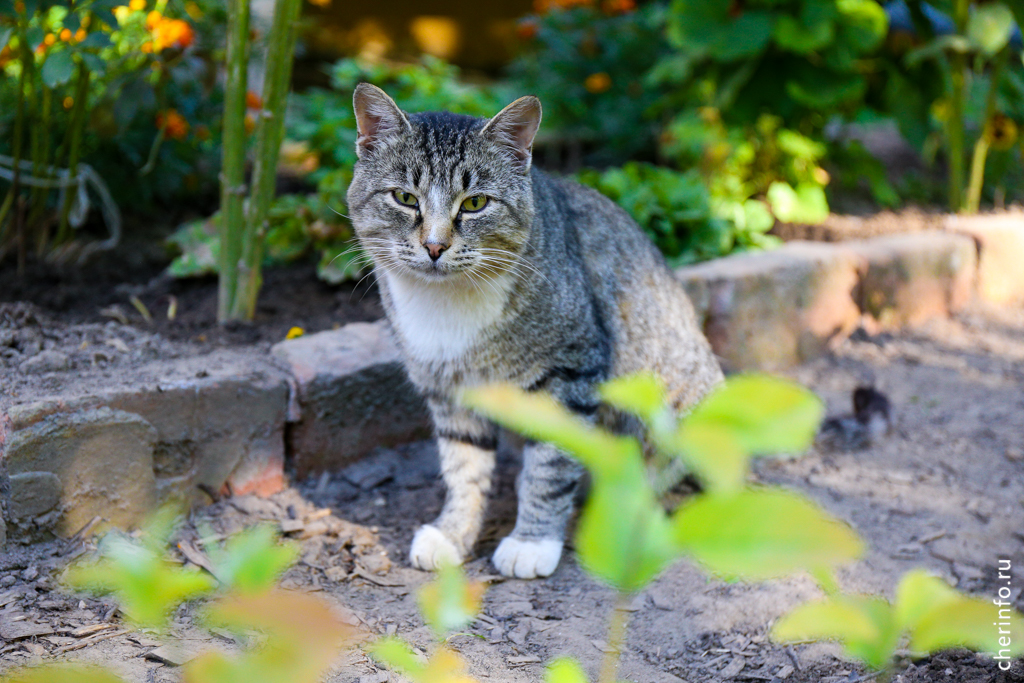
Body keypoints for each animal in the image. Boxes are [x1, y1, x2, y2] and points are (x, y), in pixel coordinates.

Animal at [346, 83, 720, 577]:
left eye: (475, 203)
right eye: (405, 198)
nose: (434, 246)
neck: (447, 305)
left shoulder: (571, 369)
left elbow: (551, 465)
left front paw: (532, 541)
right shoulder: (447, 386)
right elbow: (463, 467)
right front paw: (453, 532)